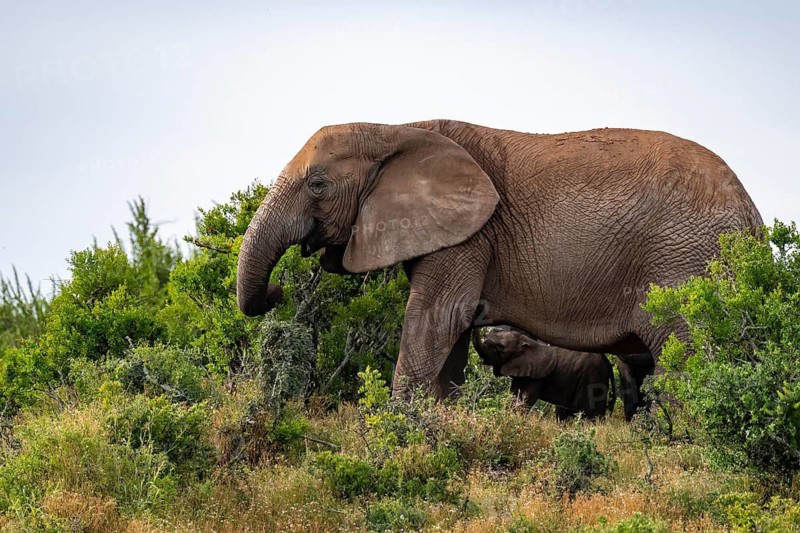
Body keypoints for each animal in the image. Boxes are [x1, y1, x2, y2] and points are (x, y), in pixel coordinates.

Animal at [236, 119, 762, 408]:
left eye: (317, 185)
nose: (280, 291)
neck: (396, 127)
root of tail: (753, 217)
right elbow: (449, 334)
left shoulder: (470, 234)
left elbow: (437, 317)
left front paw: (396, 429)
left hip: (688, 263)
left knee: (685, 363)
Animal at [472, 327, 615, 420]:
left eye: (501, 347)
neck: (525, 341)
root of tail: (608, 363)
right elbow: (514, 395)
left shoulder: (536, 374)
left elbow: (523, 401)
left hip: (593, 376)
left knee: (590, 413)